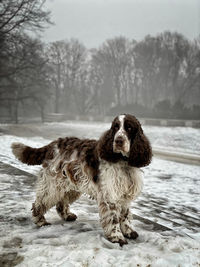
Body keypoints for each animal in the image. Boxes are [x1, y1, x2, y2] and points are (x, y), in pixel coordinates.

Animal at [11, 113, 152, 247]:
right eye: (115, 127)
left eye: (129, 127)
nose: (118, 141)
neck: (123, 162)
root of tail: (54, 144)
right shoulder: (109, 194)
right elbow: (113, 217)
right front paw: (117, 237)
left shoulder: (124, 194)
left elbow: (125, 215)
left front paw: (128, 231)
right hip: (53, 184)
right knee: (40, 203)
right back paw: (41, 221)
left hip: (69, 184)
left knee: (61, 203)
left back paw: (67, 216)